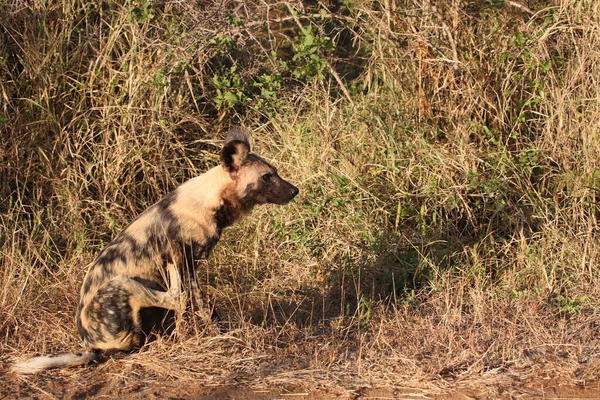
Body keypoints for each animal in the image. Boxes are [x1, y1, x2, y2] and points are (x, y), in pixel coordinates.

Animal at [10, 126, 298, 374]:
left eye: (275, 173)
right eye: (267, 177)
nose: (295, 190)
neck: (211, 200)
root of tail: (90, 346)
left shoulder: (191, 265)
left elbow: (200, 306)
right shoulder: (183, 261)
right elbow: (193, 302)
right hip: (123, 283)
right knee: (175, 296)